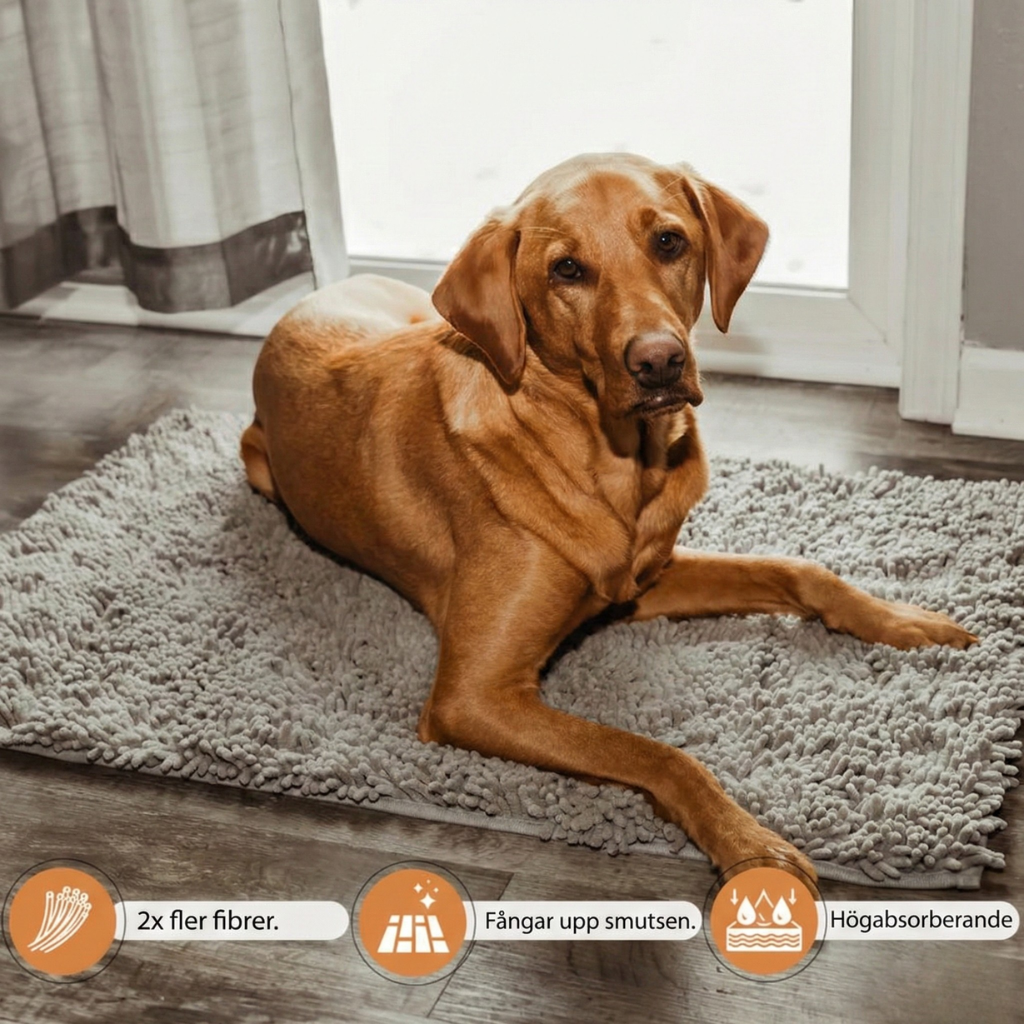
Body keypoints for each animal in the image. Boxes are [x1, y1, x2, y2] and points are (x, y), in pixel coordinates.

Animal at [242, 153, 976, 878]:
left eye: (669, 241)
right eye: (567, 269)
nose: (660, 361)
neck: (615, 463)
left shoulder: (642, 582)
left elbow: (797, 569)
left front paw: (907, 622)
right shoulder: (472, 696)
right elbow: (656, 752)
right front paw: (747, 841)